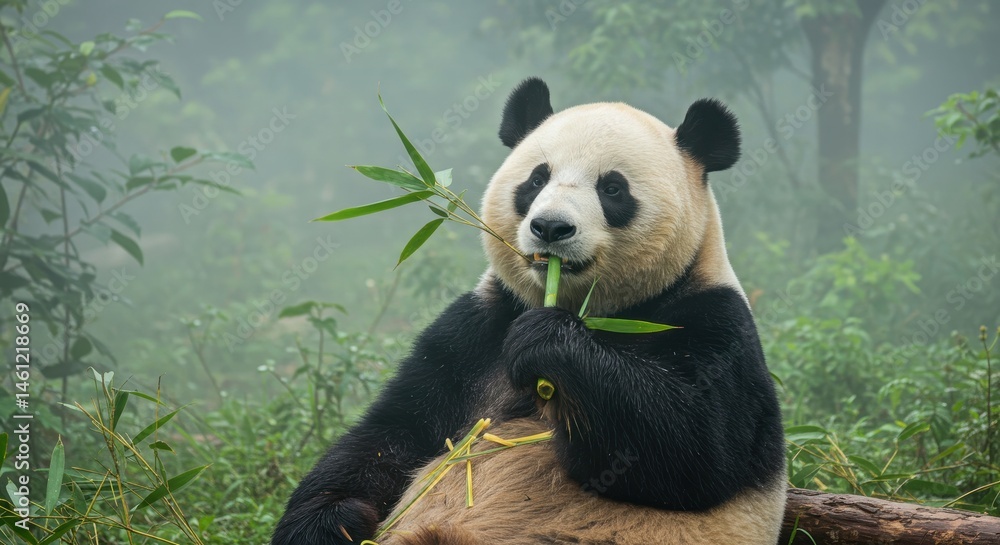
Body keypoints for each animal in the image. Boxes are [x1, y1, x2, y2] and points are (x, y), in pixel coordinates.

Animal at [271, 77, 787, 545]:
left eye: (613, 189)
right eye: (537, 179)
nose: (551, 227)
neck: (598, 310)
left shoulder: (715, 325)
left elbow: (693, 450)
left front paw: (548, 344)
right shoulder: (477, 328)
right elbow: (393, 433)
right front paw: (329, 523)